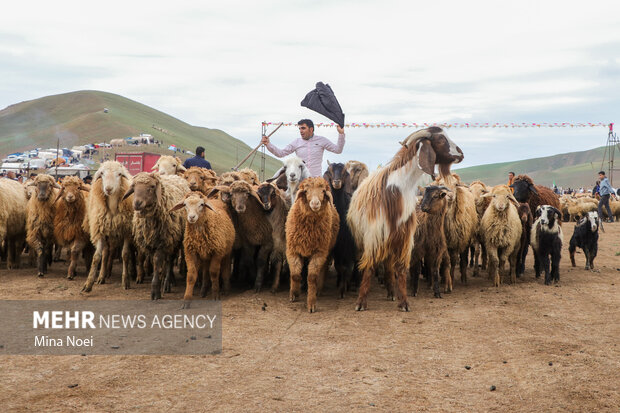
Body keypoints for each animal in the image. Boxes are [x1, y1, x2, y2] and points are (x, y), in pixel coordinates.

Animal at [82, 161, 134, 292]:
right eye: (102, 173)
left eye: (119, 174)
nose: (108, 189)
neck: (113, 208)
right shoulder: (100, 231)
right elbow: (96, 257)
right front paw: (88, 283)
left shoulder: (127, 231)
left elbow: (125, 255)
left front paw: (125, 281)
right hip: (107, 233)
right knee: (105, 253)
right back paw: (102, 276)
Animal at [121, 171, 189, 300]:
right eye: (134, 186)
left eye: (152, 187)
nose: (137, 203)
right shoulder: (151, 244)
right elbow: (154, 262)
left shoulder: (163, 243)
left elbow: (157, 262)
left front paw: (156, 291)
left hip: (173, 241)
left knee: (169, 260)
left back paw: (167, 283)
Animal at [286, 175, 340, 310]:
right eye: (306, 191)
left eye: (323, 191)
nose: (315, 203)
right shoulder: (292, 250)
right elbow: (295, 274)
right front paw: (294, 293)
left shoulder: (319, 253)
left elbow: (312, 277)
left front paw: (311, 303)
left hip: (327, 251)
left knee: (323, 269)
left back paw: (319, 289)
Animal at [322, 161, 356, 296]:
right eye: (330, 171)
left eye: (343, 172)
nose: (336, 182)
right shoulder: (336, 248)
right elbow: (339, 267)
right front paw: (341, 287)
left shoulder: (350, 246)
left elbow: (349, 267)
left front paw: (345, 287)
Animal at [346, 127, 462, 310]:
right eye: (441, 139)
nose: (461, 153)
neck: (397, 190)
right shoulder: (374, 235)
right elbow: (369, 267)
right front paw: (361, 302)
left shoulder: (404, 236)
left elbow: (400, 268)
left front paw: (404, 302)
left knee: (388, 266)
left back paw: (391, 292)